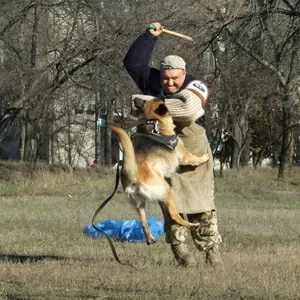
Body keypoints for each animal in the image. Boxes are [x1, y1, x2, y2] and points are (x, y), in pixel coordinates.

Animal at [101, 97, 209, 245]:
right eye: (159, 99)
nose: (163, 96)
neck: (153, 122)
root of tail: (133, 174)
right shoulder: (184, 156)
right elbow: (194, 159)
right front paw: (204, 158)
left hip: (139, 204)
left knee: (143, 223)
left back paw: (150, 238)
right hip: (167, 191)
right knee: (174, 215)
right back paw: (191, 225)